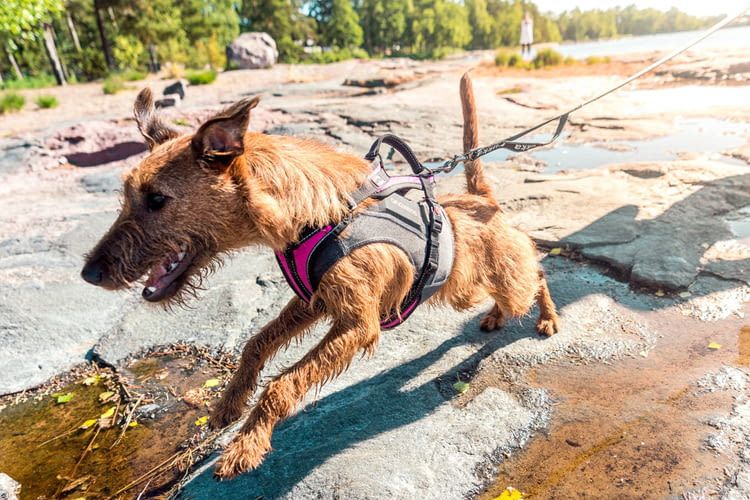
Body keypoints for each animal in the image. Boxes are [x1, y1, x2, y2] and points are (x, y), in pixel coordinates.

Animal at [83, 73, 560, 476]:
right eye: (126, 195)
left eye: (157, 199)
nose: (89, 272)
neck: (318, 216)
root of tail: (482, 200)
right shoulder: (313, 299)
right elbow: (256, 345)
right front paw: (230, 404)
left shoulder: (357, 323)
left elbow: (282, 384)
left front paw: (247, 444)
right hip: (467, 289)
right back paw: (497, 316)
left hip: (506, 280)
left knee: (536, 273)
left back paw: (547, 318)